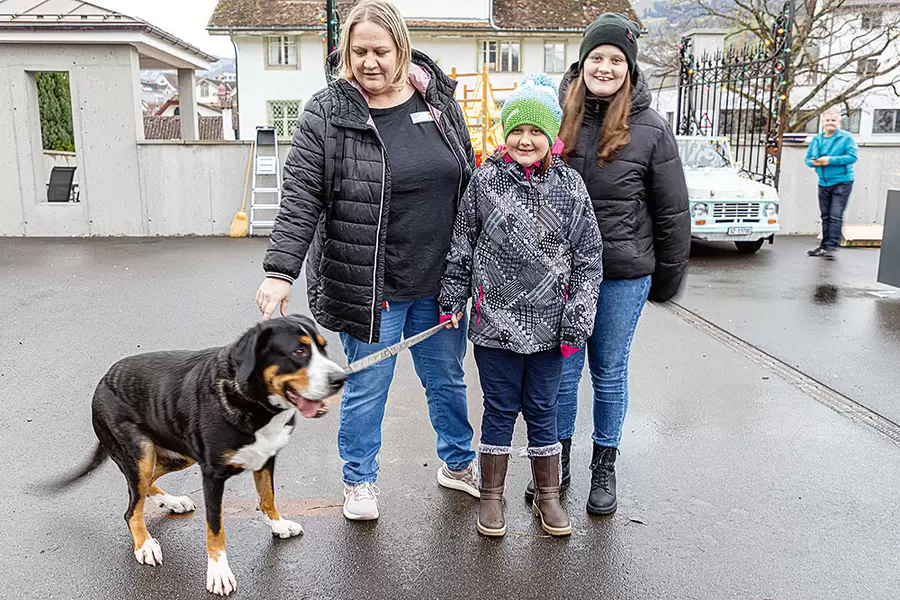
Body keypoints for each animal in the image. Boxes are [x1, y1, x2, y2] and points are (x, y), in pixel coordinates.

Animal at [51, 314, 344, 596]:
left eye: (323, 348)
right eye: (298, 351)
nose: (341, 379)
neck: (250, 400)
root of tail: (105, 379)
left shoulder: (266, 458)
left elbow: (267, 497)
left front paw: (278, 525)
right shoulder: (212, 476)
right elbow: (215, 528)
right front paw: (219, 572)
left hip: (178, 454)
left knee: (145, 486)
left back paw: (171, 502)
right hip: (141, 454)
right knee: (132, 508)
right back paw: (145, 545)